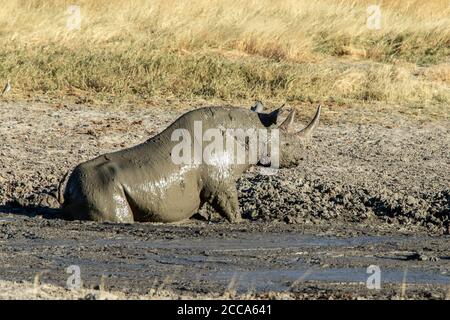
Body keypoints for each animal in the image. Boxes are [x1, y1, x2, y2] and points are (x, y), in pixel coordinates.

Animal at [59, 102, 320, 222]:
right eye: (287, 144)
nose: (301, 158)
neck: (252, 130)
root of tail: (68, 189)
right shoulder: (220, 183)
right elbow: (231, 205)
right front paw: (240, 221)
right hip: (101, 188)